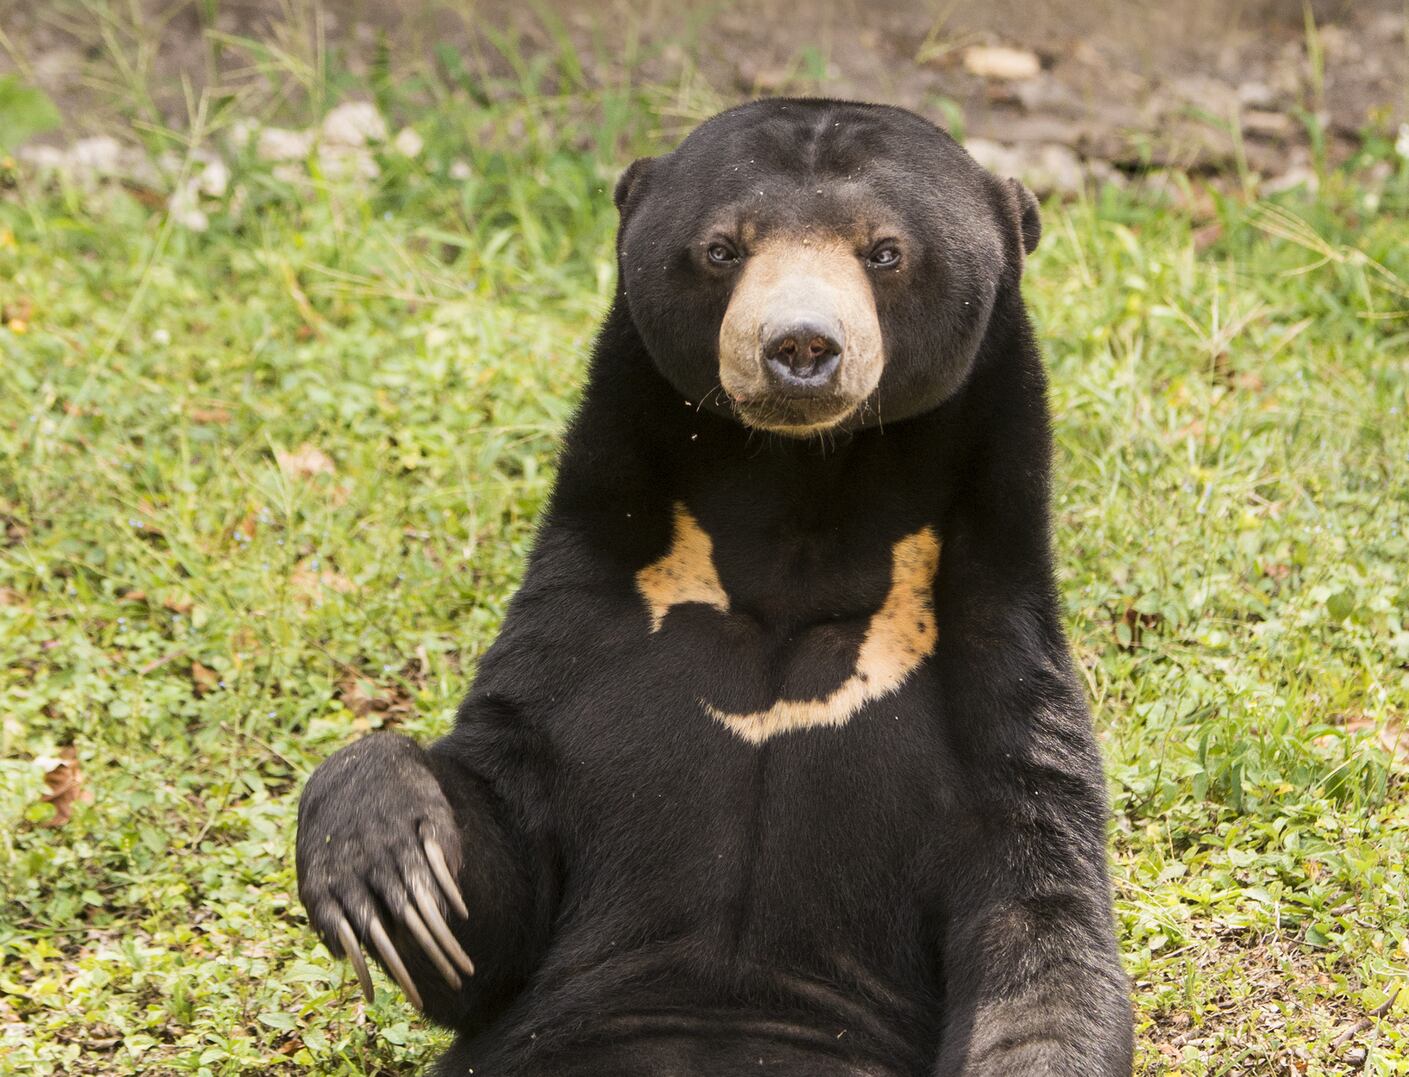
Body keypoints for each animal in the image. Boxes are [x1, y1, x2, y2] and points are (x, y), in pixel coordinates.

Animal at [295, 98, 1134, 1076]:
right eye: (723, 248)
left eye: (884, 251)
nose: (800, 346)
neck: (800, 508)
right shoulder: (590, 624)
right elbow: (489, 900)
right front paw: (383, 859)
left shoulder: (989, 666)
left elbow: (1039, 918)